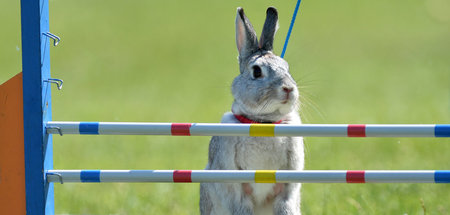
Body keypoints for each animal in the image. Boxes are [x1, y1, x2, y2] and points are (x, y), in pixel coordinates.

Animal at [200, 6, 306, 215]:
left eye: (287, 67)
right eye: (257, 71)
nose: (288, 88)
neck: (263, 122)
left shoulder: (289, 181)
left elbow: (286, 203)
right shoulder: (233, 183)